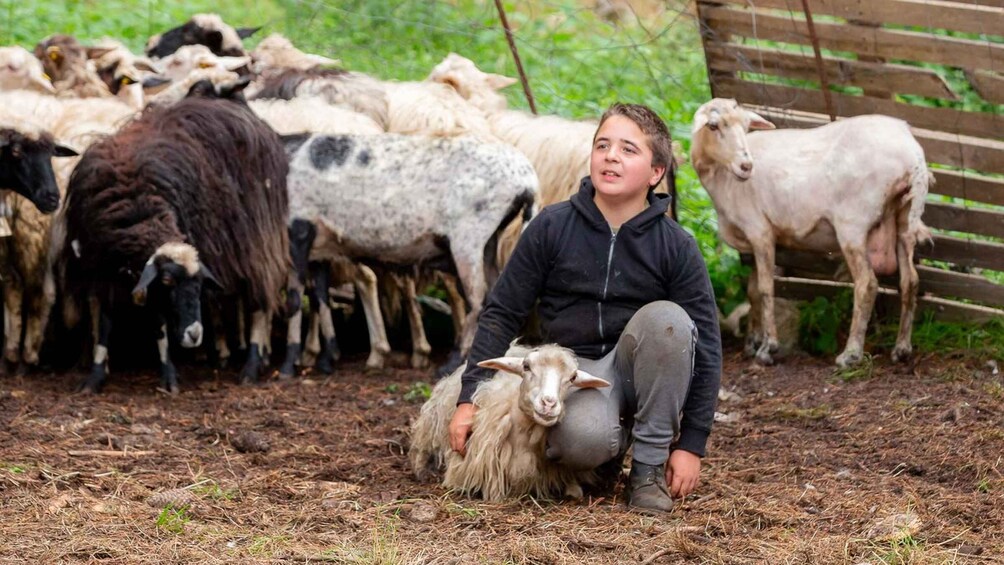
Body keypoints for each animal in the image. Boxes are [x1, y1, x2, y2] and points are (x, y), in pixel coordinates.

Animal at [409, 343, 610, 501]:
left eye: (572, 377)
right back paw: (421, 469)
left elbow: (575, 491)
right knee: (421, 448)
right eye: (527, 366)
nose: (549, 403)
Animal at [690, 99, 931, 369]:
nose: (746, 166)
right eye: (713, 126)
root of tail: (912, 155)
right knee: (910, 281)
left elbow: (765, 289)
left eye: (744, 126)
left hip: (852, 223)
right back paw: (902, 348)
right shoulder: (755, 240)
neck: (722, 179)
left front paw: (768, 348)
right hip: (904, 219)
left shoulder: (759, 231)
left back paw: (851, 354)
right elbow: (752, 291)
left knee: (867, 284)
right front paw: (752, 342)